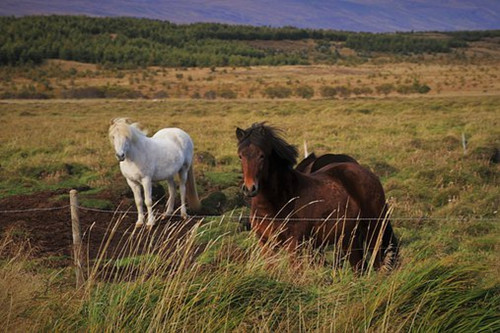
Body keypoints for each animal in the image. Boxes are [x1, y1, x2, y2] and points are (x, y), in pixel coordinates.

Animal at [237, 123, 398, 272]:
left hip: (373, 231)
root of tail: (369, 174)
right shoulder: (265, 243)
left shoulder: (294, 245)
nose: (250, 188)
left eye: (261, 155)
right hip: (349, 240)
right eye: (240, 156)